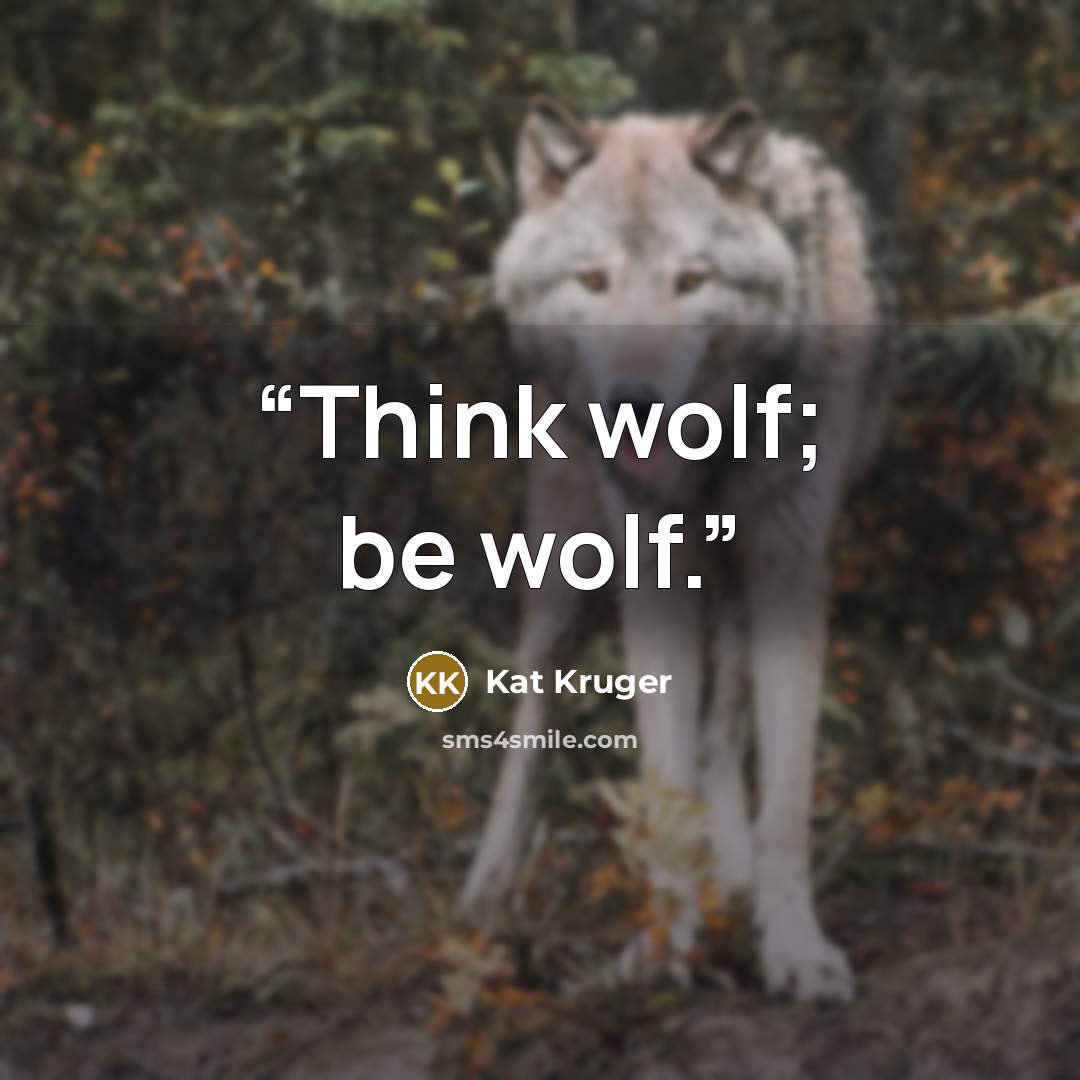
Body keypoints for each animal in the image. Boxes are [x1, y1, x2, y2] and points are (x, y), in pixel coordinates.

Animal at [460, 97, 892, 1003]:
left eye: (690, 282)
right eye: (593, 281)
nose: (633, 397)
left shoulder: (788, 562)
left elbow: (782, 795)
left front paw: (793, 948)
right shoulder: (648, 570)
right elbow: (663, 773)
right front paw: (664, 950)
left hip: (732, 582)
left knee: (723, 726)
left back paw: (729, 872)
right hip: (566, 563)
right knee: (535, 701)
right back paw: (488, 888)